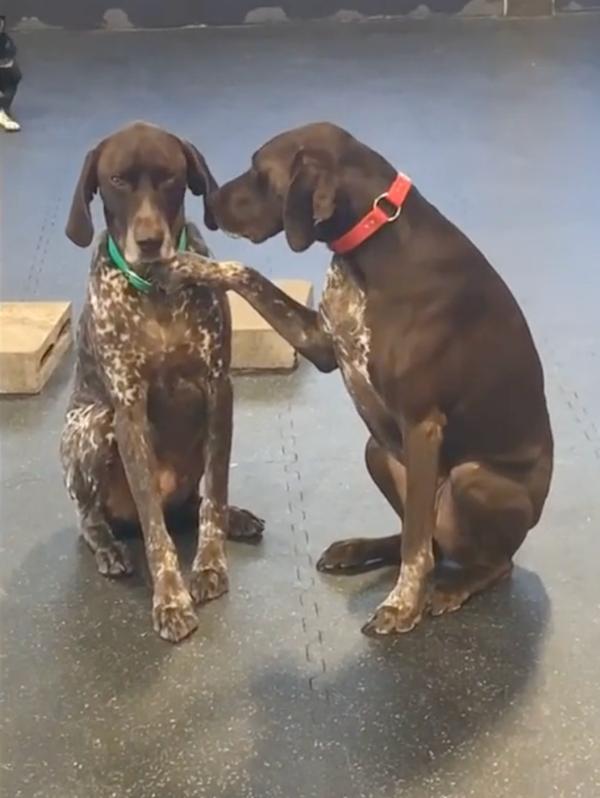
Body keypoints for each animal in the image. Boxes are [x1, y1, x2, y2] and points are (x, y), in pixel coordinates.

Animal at [59, 122, 264, 644]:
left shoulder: (218, 389)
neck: (157, 290)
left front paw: (209, 565)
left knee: (197, 503)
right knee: (93, 519)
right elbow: (155, 532)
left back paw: (234, 518)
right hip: (92, 427)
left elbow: (215, 495)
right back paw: (109, 547)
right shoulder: (127, 411)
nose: (149, 240)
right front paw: (169, 598)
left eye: (170, 177)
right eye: (116, 180)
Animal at [156, 122, 552, 640]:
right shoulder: (322, 343)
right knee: (427, 538)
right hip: (377, 450)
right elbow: (249, 274)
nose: (212, 201)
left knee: (485, 560)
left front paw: (403, 606)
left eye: (261, 172)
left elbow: (415, 549)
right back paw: (359, 549)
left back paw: (454, 587)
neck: (374, 240)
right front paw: (193, 265)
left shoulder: (422, 424)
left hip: (470, 479)